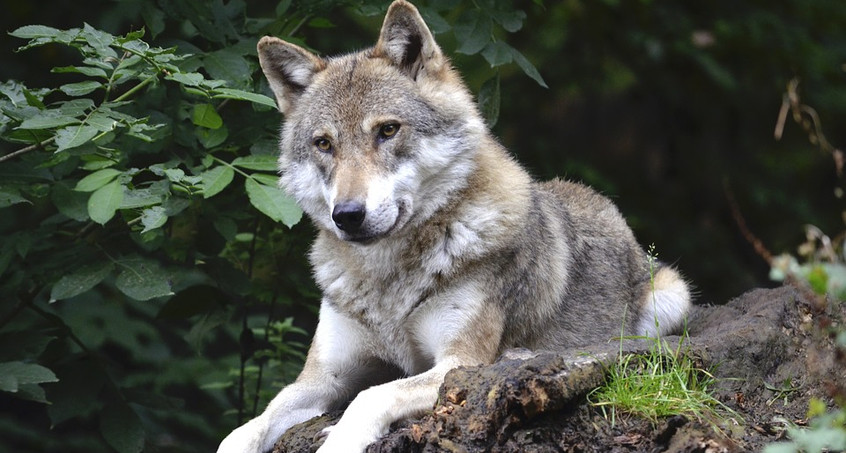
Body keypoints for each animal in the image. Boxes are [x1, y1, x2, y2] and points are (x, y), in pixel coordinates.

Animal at [217, 1, 688, 450]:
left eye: (388, 130)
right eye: (323, 144)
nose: (348, 215)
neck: (388, 281)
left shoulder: (460, 364)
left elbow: (371, 395)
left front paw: (341, 437)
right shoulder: (322, 378)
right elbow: (246, 427)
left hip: (671, 299)